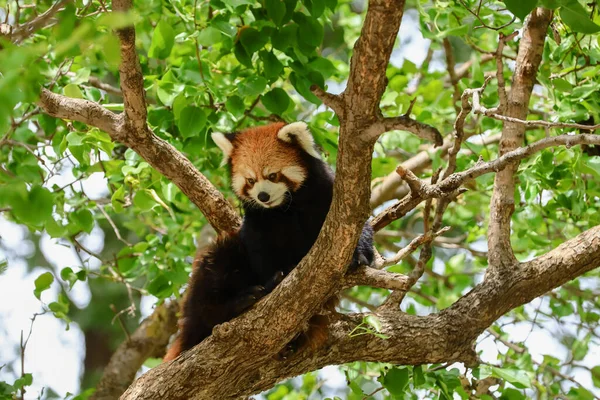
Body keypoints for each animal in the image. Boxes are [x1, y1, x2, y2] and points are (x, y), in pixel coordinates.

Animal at [163, 120, 370, 360]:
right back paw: (238, 303)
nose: (263, 196)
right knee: (210, 284)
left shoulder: (328, 193)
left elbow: (354, 222)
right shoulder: (258, 223)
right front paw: (274, 281)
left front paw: (359, 253)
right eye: (251, 180)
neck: (287, 206)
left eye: (272, 176)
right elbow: (261, 253)